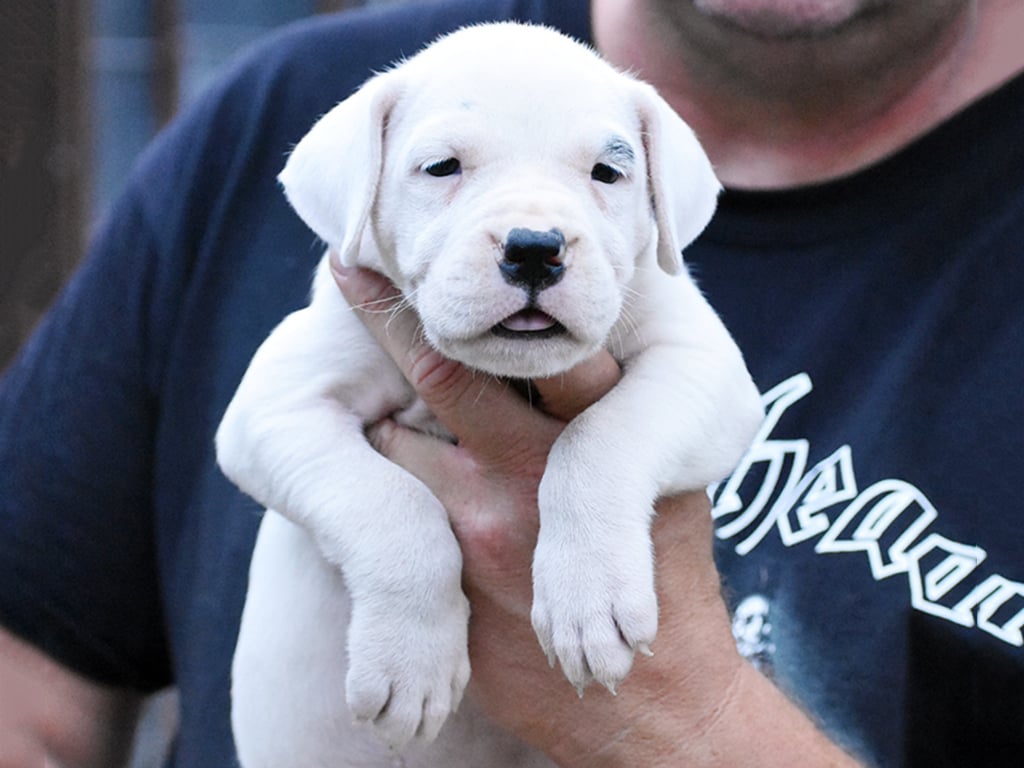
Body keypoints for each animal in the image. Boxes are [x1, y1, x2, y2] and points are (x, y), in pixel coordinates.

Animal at [216, 22, 761, 768]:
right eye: (442, 167)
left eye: (608, 174)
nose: (534, 247)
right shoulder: (275, 411)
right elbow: (391, 503)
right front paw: (410, 661)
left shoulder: (702, 368)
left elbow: (600, 437)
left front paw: (589, 599)